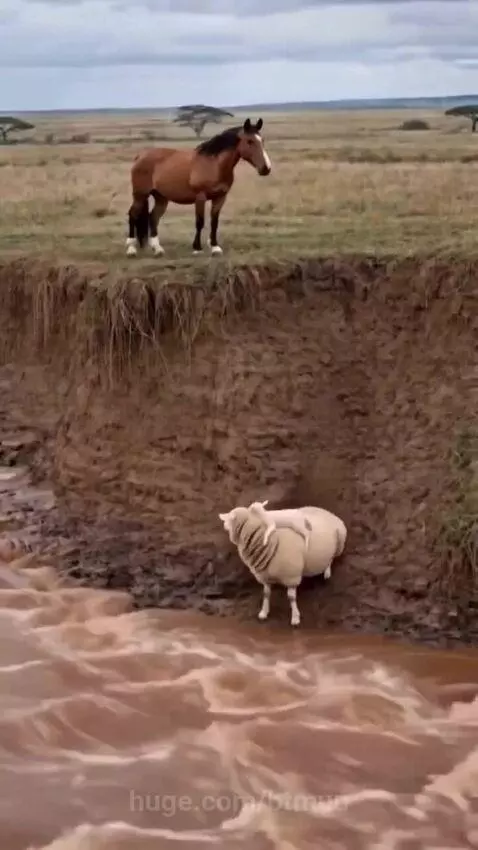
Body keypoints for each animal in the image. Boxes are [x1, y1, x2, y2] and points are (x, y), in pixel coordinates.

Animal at [125, 117, 272, 258]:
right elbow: (200, 222)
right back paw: (131, 249)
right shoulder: (200, 197)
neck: (214, 165)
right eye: (249, 141)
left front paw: (215, 247)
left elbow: (214, 222)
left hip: (161, 197)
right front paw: (197, 249)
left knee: (153, 217)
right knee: (133, 214)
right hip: (140, 194)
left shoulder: (220, 197)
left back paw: (158, 249)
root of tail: (140, 155)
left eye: (262, 140)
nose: (266, 168)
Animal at [218, 503, 347, 627]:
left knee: (331, 559)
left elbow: (291, 597)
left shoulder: (291, 576)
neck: (272, 541)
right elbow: (266, 594)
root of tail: (325, 510)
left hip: (340, 543)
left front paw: (295, 618)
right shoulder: (265, 576)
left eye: (229, 518)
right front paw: (263, 612)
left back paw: (327, 572)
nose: (223, 525)